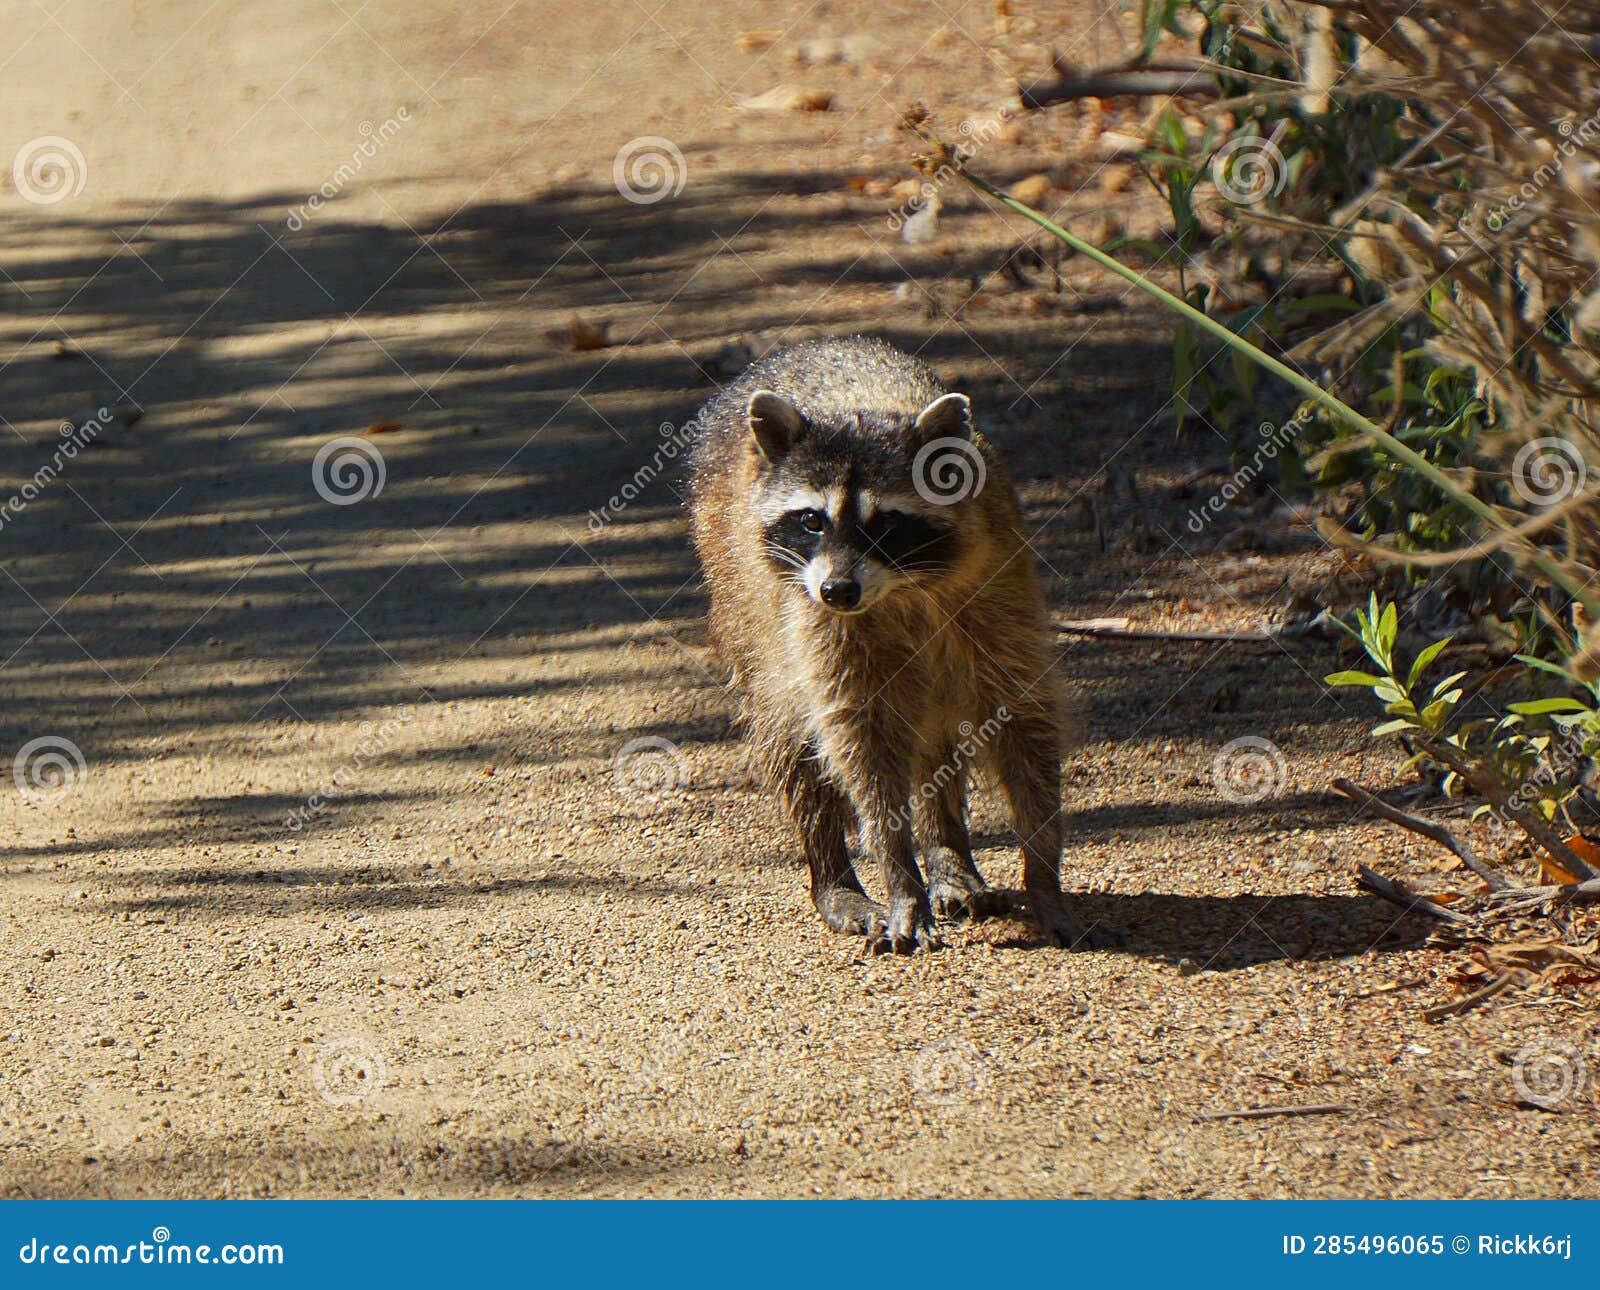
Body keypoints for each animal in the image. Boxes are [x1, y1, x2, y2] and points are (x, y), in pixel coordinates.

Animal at [687, 336, 1112, 954]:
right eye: (811, 520)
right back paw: (833, 874)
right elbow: (862, 739)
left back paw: (947, 849)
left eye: (887, 522)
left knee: (937, 736)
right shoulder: (817, 621)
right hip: (741, 597)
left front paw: (1042, 869)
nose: (838, 590)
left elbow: (1022, 719)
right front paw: (898, 874)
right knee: (787, 729)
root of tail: (815, 343)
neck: (900, 587)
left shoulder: (998, 587)